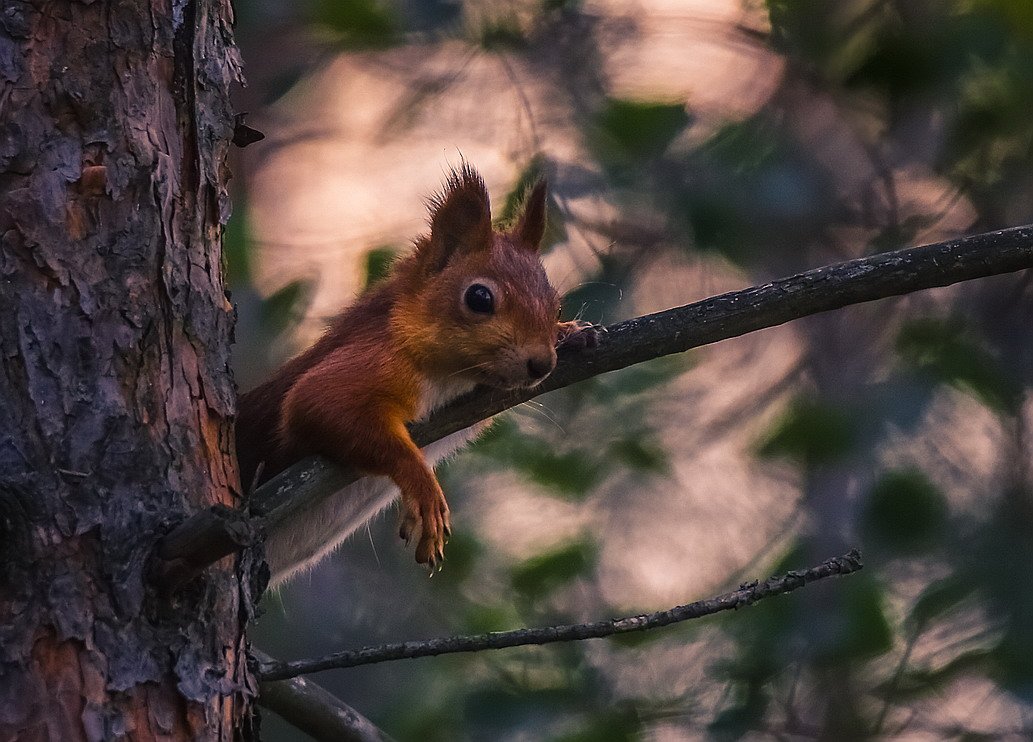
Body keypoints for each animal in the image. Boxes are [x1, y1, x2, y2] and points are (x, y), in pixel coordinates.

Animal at [235, 164, 599, 586]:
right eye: (479, 298)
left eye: (555, 303)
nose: (542, 364)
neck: (446, 377)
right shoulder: (367, 362)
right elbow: (318, 404)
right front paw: (424, 489)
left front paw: (570, 332)